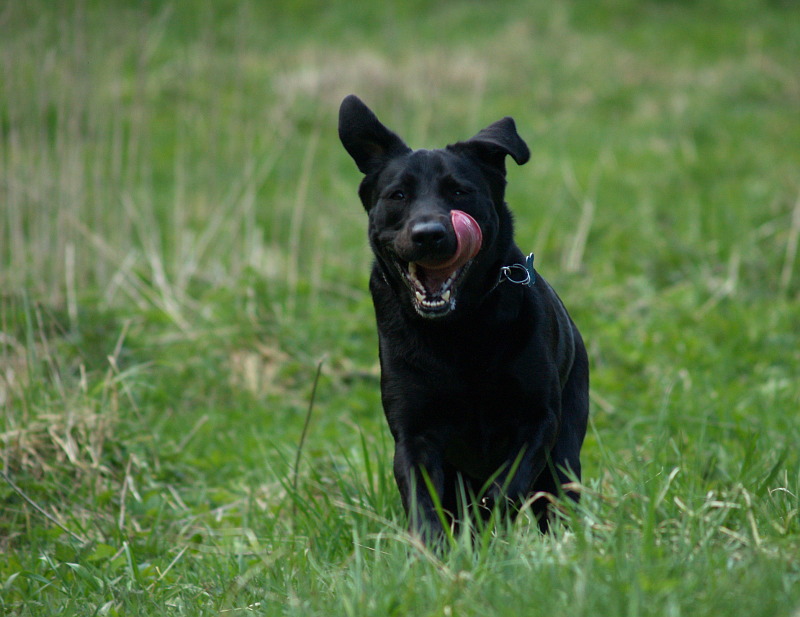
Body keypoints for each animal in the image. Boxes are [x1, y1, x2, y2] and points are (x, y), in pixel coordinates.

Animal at [336, 94, 588, 540]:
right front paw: (435, 549)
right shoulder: (414, 434)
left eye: (459, 190)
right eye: (398, 195)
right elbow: (424, 503)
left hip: (565, 450)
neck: (458, 331)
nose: (429, 233)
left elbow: (505, 489)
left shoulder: (538, 420)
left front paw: (485, 530)